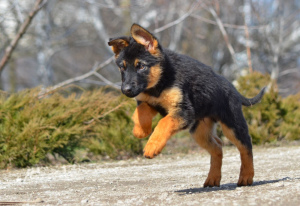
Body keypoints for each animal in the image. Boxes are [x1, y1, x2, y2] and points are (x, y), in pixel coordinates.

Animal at [108, 23, 264, 187]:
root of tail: (234, 89)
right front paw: (140, 130)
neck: (161, 80)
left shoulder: (183, 111)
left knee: (246, 146)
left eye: (141, 66)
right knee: (218, 147)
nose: (125, 90)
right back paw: (213, 178)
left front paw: (152, 146)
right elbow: (141, 111)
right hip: (199, 131)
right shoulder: (149, 101)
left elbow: (163, 123)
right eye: (122, 68)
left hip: (232, 125)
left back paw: (246, 176)